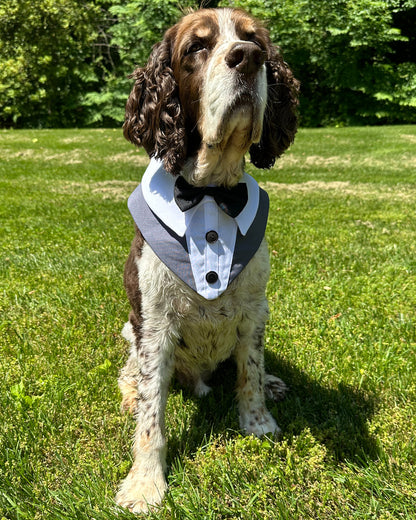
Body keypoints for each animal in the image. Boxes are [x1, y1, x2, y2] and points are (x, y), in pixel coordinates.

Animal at [116, 6, 300, 512]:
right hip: (134, 333)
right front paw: (145, 483)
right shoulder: (155, 321)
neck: (212, 194)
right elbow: (152, 413)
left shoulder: (256, 306)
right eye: (197, 46)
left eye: (255, 39)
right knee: (133, 375)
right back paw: (128, 392)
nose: (249, 58)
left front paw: (258, 423)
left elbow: (250, 370)